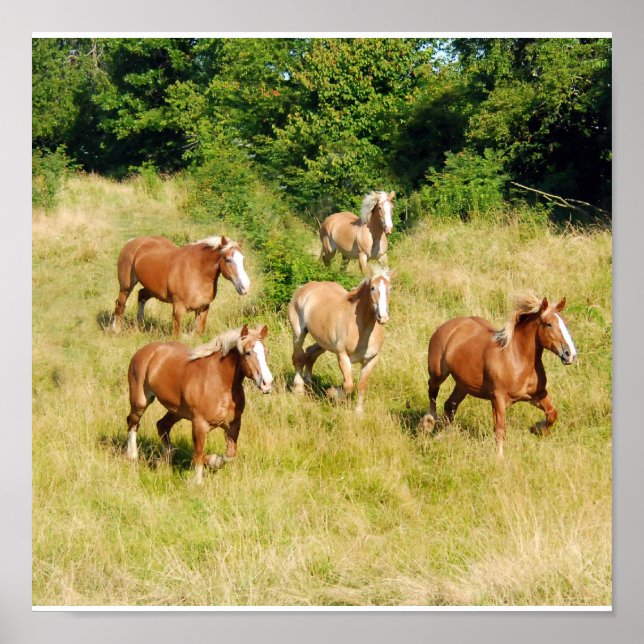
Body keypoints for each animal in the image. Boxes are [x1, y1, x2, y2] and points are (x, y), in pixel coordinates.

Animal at [112, 235, 250, 337]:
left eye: (243, 259)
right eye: (228, 259)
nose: (246, 287)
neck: (197, 272)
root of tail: (132, 242)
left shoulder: (203, 308)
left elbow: (198, 333)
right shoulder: (178, 309)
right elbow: (176, 335)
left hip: (152, 289)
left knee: (141, 296)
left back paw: (139, 327)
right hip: (126, 287)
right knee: (120, 305)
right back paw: (116, 330)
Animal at [125, 324, 273, 484]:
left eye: (266, 351)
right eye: (248, 353)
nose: (267, 383)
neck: (219, 382)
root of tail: (144, 352)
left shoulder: (234, 424)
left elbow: (229, 455)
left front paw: (213, 461)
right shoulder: (199, 424)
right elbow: (199, 454)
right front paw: (198, 481)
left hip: (177, 411)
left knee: (161, 425)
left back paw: (167, 457)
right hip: (140, 401)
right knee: (133, 422)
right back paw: (132, 456)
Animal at [288, 269, 393, 415]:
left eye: (390, 288)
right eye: (373, 288)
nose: (383, 317)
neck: (362, 329)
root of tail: (303, 288)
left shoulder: (371, 359)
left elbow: (361, 385)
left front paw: (358, 412)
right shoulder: (343, 356)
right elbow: (348, 385)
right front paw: (331, 393)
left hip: (323, 342)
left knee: (310, 353)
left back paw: (309, 384)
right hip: (298, 333)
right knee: (298, 357)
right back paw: (299, 389)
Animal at [419, 294, 577, 458]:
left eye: (565, 323)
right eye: (548, 324)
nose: (570, 354)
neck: (517, 358)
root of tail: (447, 326)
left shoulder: (536, 395)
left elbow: (552, 413)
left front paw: (536, 429)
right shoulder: (498, 398)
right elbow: (500, 429)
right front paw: (499, 458)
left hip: (463, 385)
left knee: (450, 405)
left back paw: (445, 436)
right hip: (438, 373)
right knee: (432, 392)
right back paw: (428, 423)